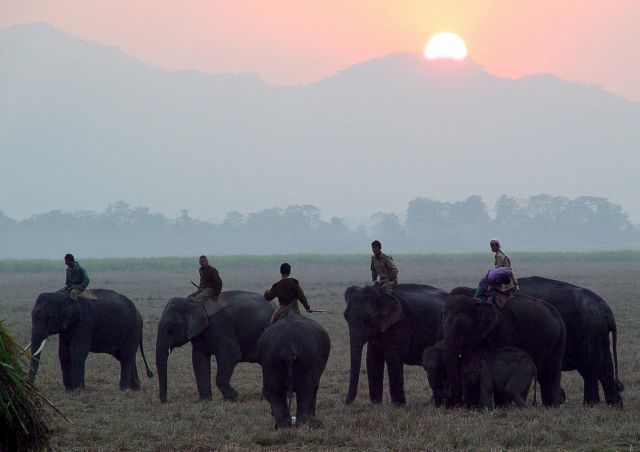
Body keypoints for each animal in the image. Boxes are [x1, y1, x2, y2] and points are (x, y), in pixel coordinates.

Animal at [516, 276, 624, 406]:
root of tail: (606, 311)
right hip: (599, 335)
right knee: (604, 369)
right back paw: (613, 405)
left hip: (589, 333)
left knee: (589, 369)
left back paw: (590, 405)